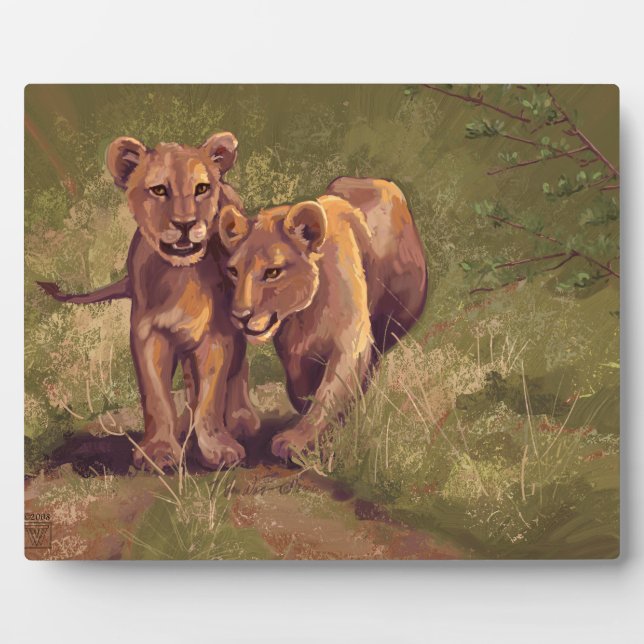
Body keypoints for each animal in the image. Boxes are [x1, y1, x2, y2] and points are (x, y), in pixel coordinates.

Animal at [38, 132, 259, 470]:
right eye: (159, 190)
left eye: (202, 188)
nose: (185, 223)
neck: (182, 275)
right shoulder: (148, 335)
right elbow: (156, 397)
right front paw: (159, 451)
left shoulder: (217, 336)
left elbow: (212, 395)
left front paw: (218, 448)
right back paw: (185, 427)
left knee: (238, 369)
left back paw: (240, 420)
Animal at [218, 176, 427, 460]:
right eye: (234, 271)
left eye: (272, 272)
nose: (240, 316)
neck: (305, 313)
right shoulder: (293, 349)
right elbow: (303, 384)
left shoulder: (351, 341)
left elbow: (329, 392)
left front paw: (296, 441)